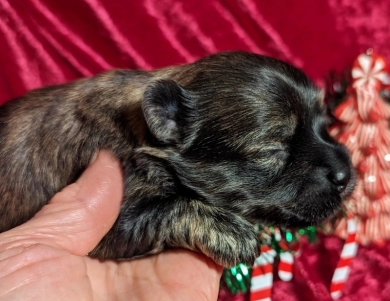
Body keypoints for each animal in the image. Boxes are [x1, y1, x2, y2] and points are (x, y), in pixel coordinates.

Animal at [0, 52, 354, 266]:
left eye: (325, 123)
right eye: (273, 150)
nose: (347, 175)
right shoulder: (115, 222)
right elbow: (173, 206)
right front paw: (232, 233)